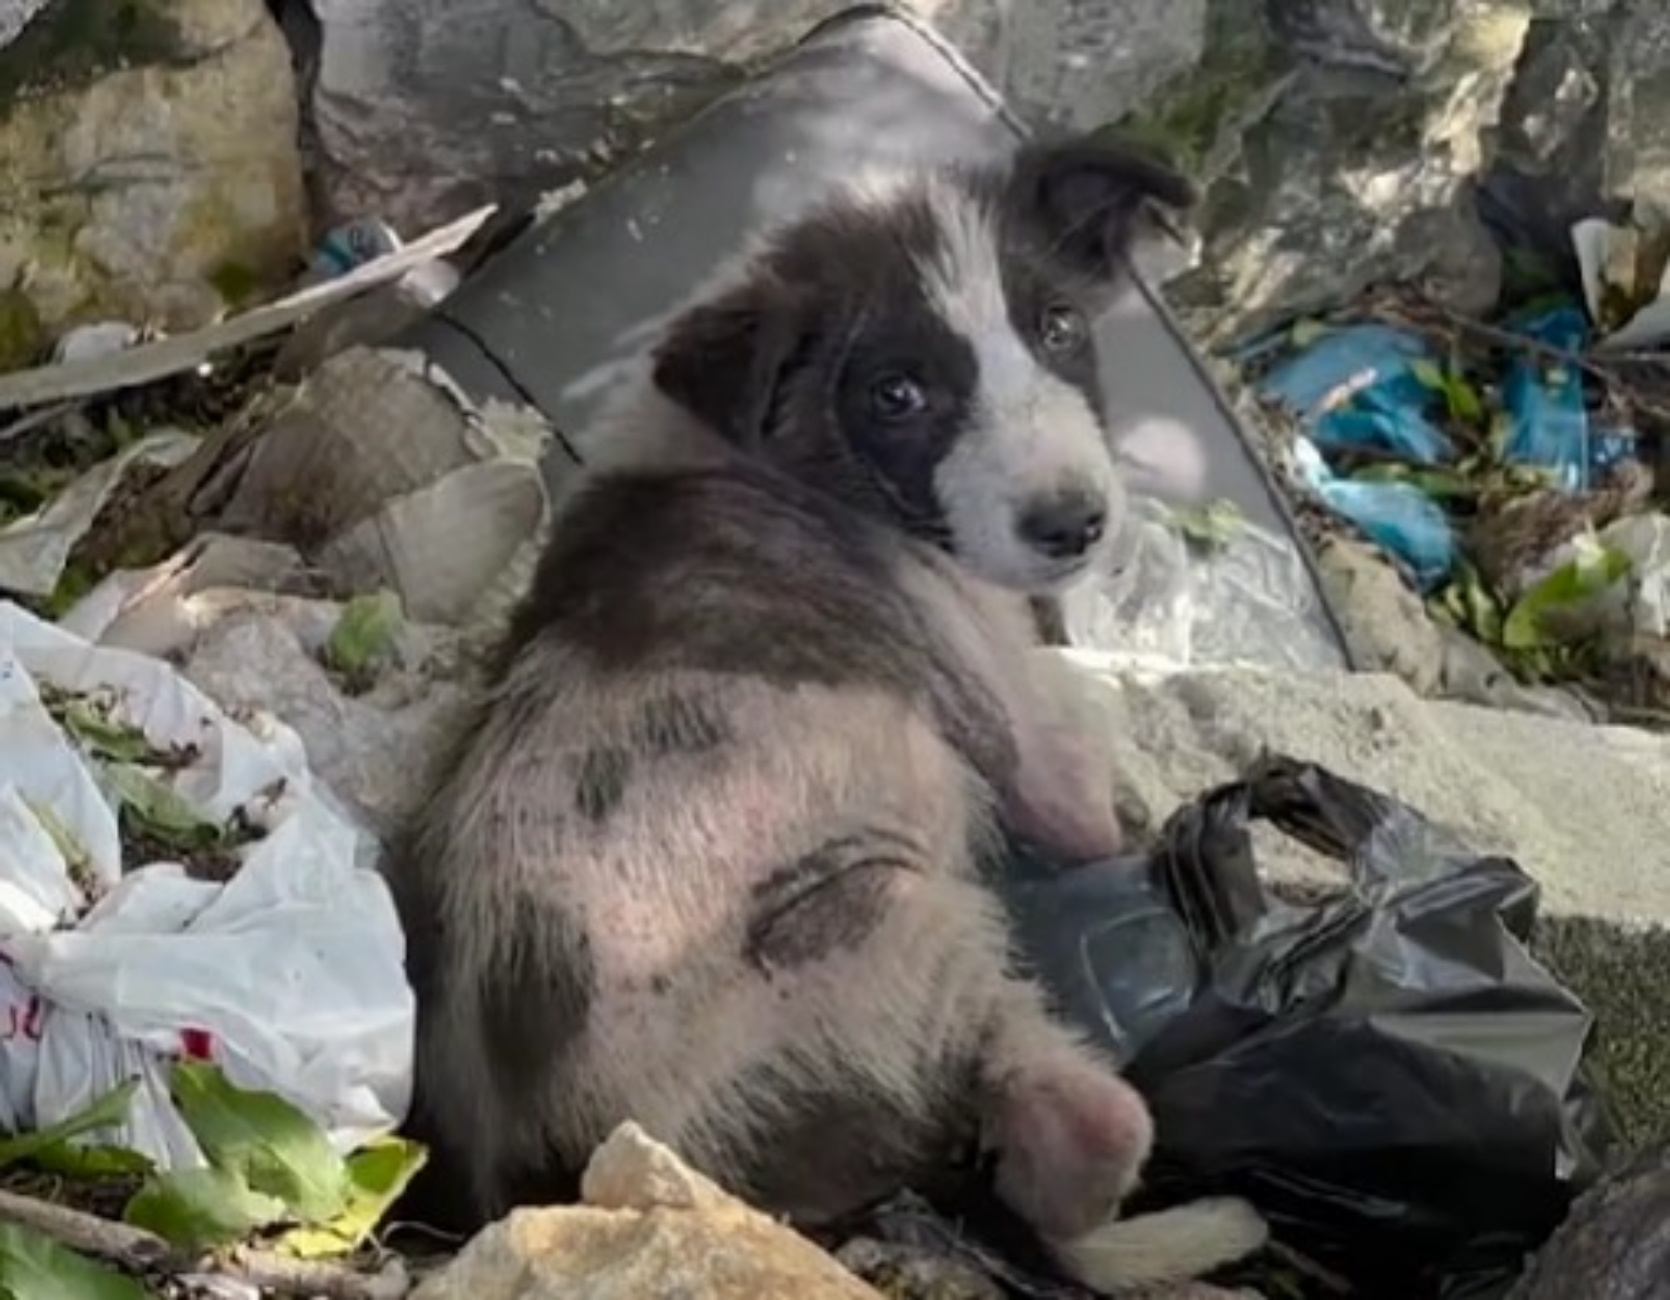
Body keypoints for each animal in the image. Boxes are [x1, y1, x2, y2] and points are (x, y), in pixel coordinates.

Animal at [382, 134, 1262, 1283]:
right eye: (896, 394)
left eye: (1060, 327)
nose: (1074, 524)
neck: (768, 454)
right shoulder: (1008, 713)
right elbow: (1081, 767)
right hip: (885, 922)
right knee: (1079, 1135)